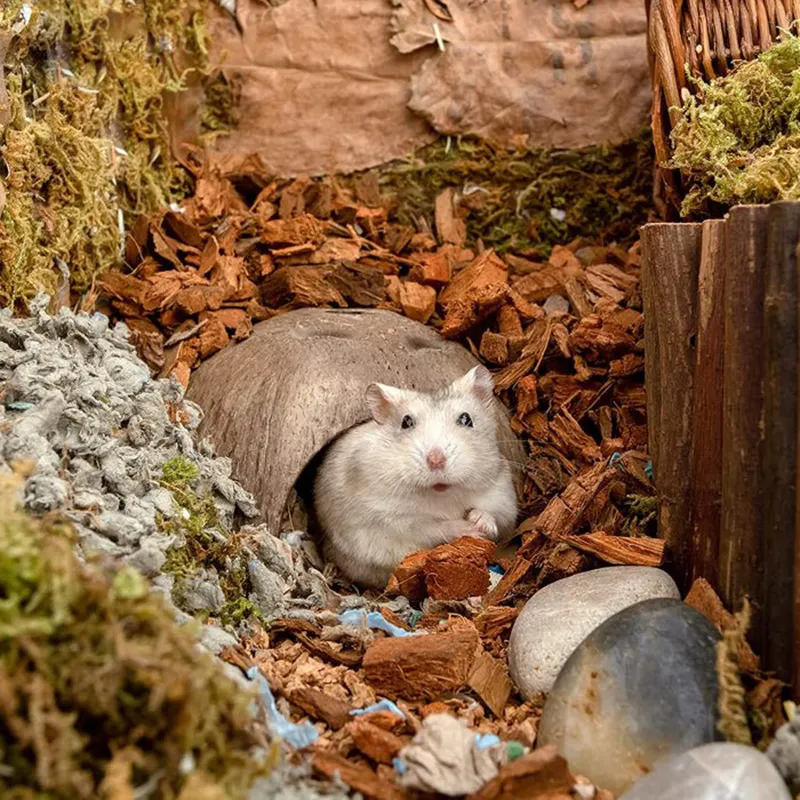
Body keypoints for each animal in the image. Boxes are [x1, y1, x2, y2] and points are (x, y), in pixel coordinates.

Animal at [312, 366, 520, 592]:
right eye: (406, 422)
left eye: (466, 419)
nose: (436, 460)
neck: (442, 494)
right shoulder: (393, 520)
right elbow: (433, 528)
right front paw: (470, 530)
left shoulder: (502, 495)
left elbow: (496, 515)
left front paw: (481, 524)